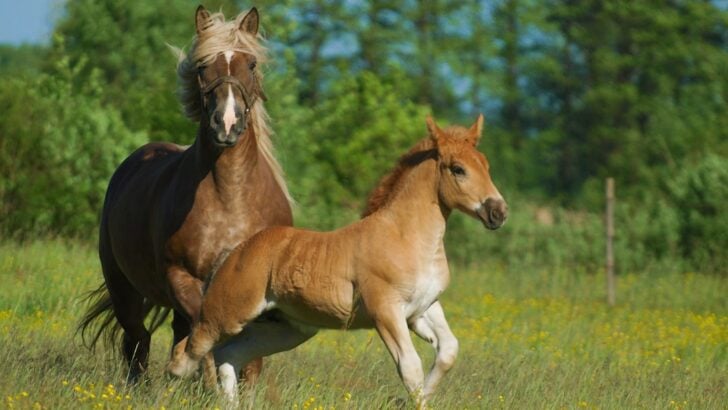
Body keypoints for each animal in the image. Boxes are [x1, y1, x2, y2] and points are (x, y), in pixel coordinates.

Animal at [78, 6, 292, 384]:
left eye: (251, 64)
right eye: (203, 66)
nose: (227, 124)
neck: (231, 200)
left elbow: (249, 352)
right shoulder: (181, 278)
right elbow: (204, 333)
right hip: (123, 287)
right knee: (138, 339)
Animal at [166, 115, 508, 406]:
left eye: (487, 165)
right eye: (458, 169)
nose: (498, 212)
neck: (405, 236)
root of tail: (233, 253)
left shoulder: (422, 309)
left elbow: (447, 351)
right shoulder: (386, 311)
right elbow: (410, 367)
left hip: (288, 329)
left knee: (231, 355)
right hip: (224, 316)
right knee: (185, 356)